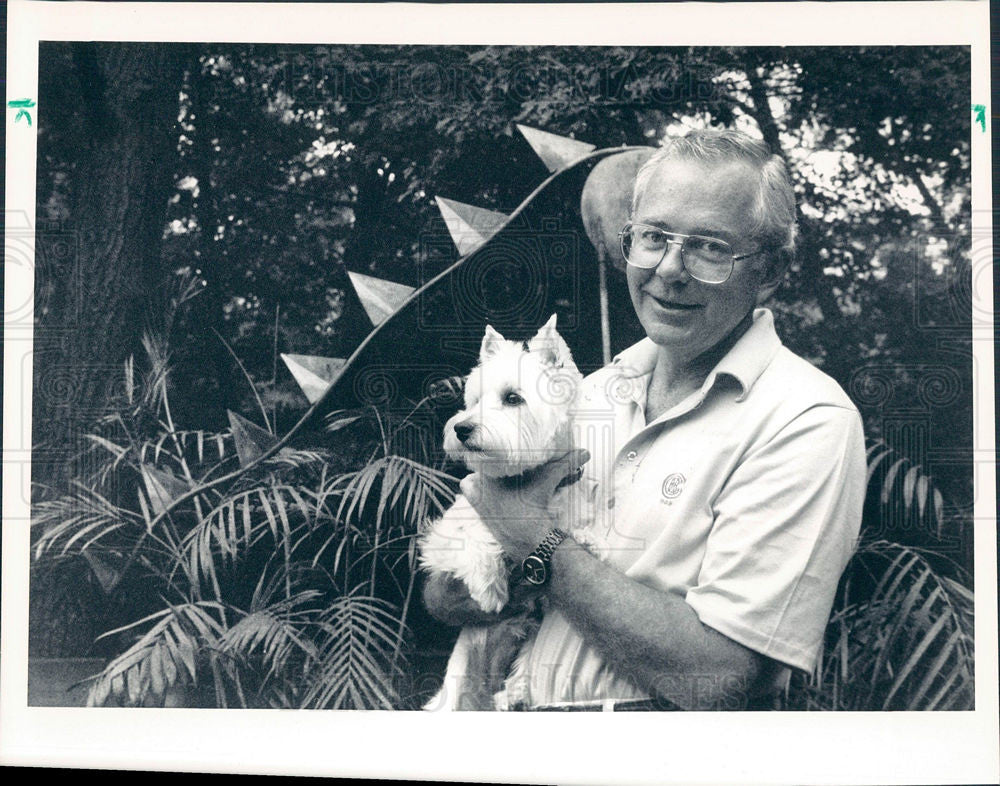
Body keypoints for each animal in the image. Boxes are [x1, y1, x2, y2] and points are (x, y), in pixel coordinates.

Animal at [418, 314, 604, 712]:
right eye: (474, 401)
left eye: (513, 398)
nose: (461, 427)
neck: (524, 479)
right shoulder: (442, 537)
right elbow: (474, 539)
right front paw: (489, 587)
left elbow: (573, 528)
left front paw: (588, 537)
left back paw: (512, 692)